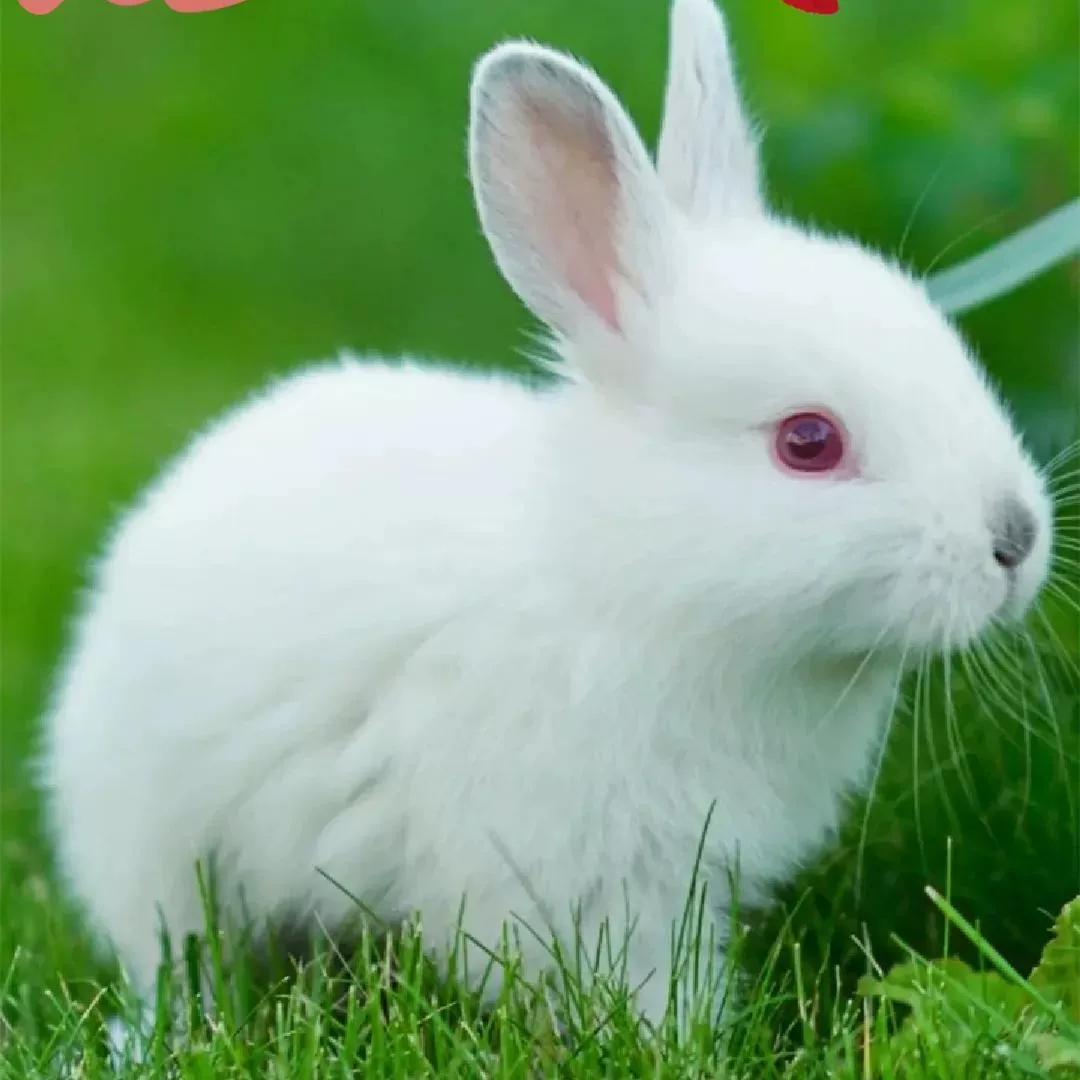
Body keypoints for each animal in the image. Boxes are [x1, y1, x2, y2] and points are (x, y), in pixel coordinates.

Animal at [40, 0, 1052, 1038]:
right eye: (808, 441)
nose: (1015, 540)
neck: (628, 585)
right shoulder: (580, 877)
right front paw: (679, 1042)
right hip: (151, 839)